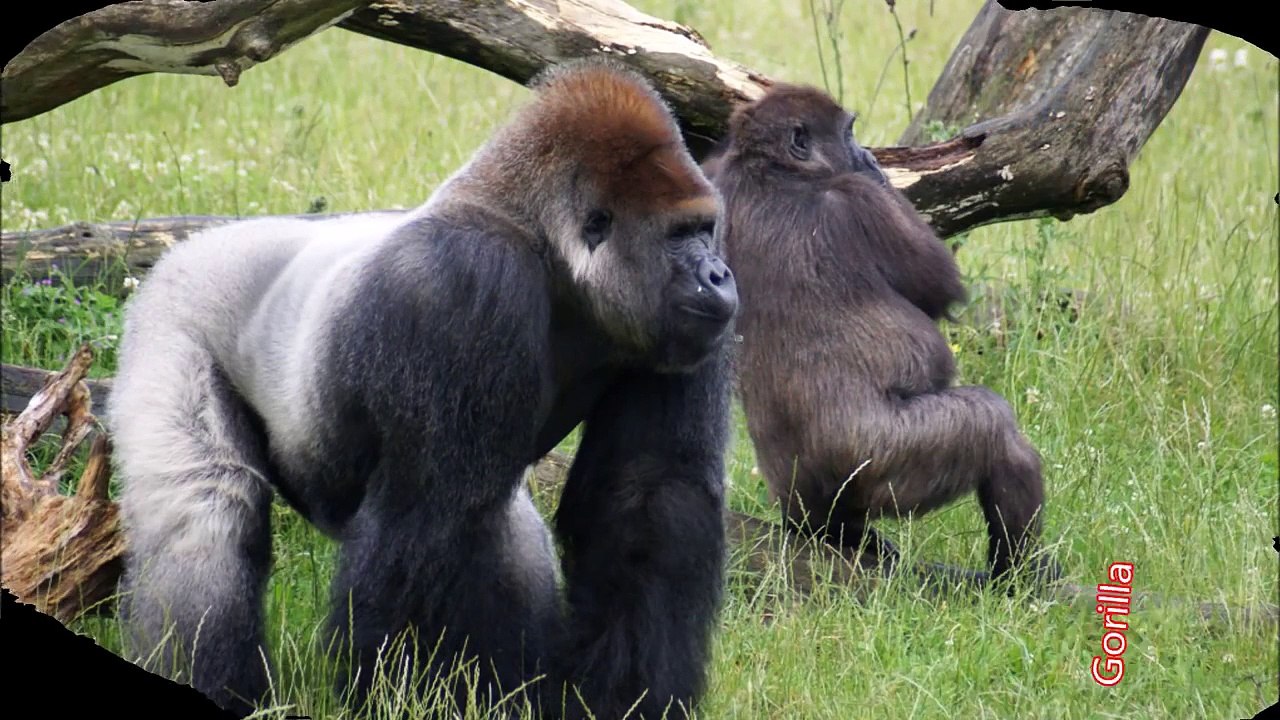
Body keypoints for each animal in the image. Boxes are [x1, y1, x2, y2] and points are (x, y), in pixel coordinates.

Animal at [107, 57, 739, 720]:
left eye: (706, 229)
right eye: (677, 236)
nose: (720, 274)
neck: (541, 240)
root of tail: (192, 246)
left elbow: (647, 492)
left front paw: (624, 694)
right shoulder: (466, 281)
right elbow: (433, 518)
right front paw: (401, 694)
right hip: (171, 313)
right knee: (205, 515)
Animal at [702, 82, 1059, 586]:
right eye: (849, 133)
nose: (870, 157)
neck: (769, 169)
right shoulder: (860, 198)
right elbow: (941, 287)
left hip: (808, 505)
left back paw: (848, 536)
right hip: (883, 469)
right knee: (994, 431)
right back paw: (1017, 573)